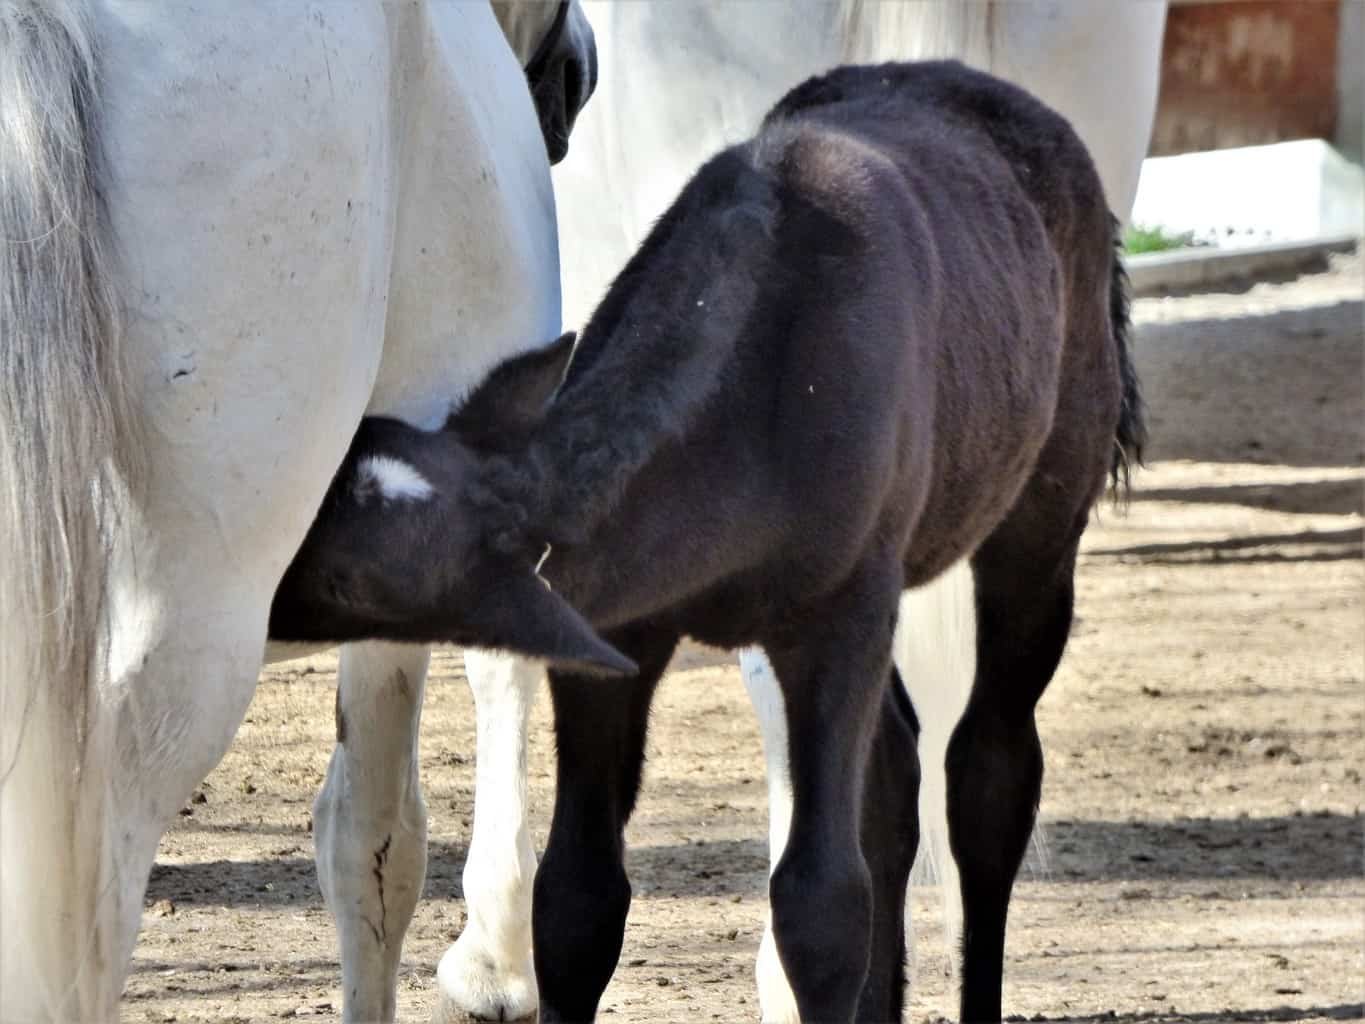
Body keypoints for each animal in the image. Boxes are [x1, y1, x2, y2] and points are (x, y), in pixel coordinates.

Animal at [271, 60, 1146, 1021]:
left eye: (352, 578)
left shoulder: (841, 616)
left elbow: (820, 904)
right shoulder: (612, 631)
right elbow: (576, 898)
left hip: (1038, 524)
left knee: (987, 773)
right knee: (893, 771)